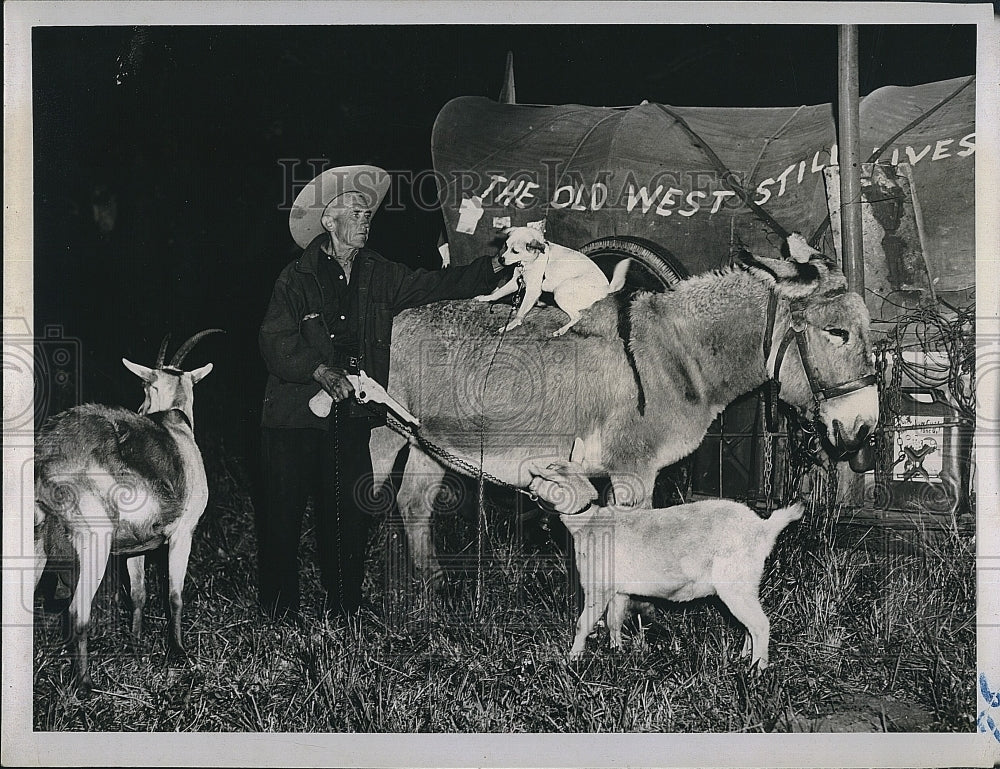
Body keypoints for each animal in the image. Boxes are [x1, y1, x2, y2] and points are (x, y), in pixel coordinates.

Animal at [35, 328, 221, 688]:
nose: (140, 408)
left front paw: (135, 645)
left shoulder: (138, 546)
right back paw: (85, 685)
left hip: (36, 538)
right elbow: (174, 595)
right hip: (94, 540)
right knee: (77, 611)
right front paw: (178, 652)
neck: (176, 426)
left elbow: (138, 594)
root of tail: (49, 452)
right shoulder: (184, 533)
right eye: (146, 387)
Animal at [474, 226, 628, 338]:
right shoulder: (515, 283)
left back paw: (561, 330)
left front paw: (510, 325)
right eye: (505, 247)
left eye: (515, 251)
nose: (501, 260)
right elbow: (497, 293)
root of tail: (607, 288)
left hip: (560, 292)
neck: (528, 262)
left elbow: (520, 313)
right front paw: (485, 298)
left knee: (577, 316)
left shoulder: (532, 290)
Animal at [528, 460, 800, 668]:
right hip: (744, 586)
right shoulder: (619, 589)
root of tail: (764, 528)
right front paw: (617, 651)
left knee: (760, 624)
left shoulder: (598, 587)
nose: (529, 484)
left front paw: (572, 659)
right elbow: (614, 621)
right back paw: (744, 657)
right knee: (748, 624)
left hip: (735, 583)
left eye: (546, 475)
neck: (588, 522)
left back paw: (756, 670)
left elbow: (582, 625)